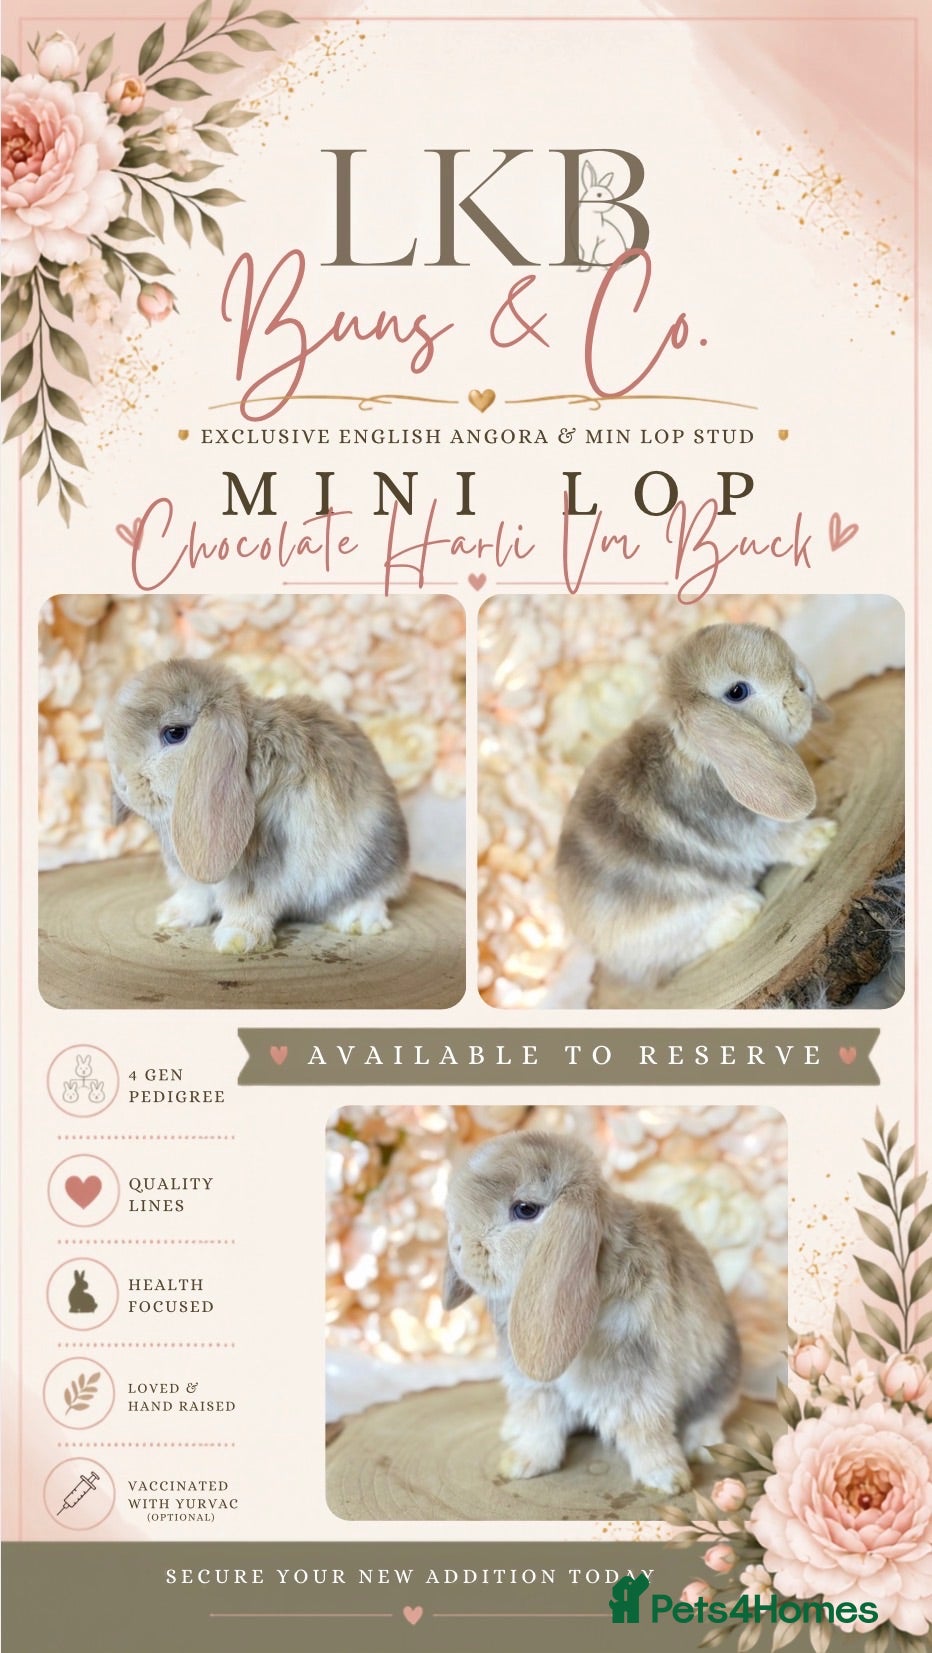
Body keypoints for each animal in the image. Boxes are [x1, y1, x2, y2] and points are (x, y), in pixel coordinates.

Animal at [104, 658, 410, 955]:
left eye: (175, 733)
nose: (123, 784)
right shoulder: (193, 875)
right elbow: (196, 896)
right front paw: (172, 915)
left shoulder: (259, 867)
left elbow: (248, 904)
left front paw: (237, 940)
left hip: (370, 858)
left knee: (374, 893)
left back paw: (360, 920)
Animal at [443, 1131, 741, 1495]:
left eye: (525, 1209)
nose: (458, 1248)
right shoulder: (538, 1388)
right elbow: (540, 1424)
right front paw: (522, 1462)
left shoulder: (633, 1379)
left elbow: (644, 1430)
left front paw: (665, 1478)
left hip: (719, 1370)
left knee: (711, 1411)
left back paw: (703, 1447)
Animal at [556, 623, 837, 986]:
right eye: (737, 692)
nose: (803, 684)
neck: (701, 756)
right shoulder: (747, 830)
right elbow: (782, 839)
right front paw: (821, 835)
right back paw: (740, 911)